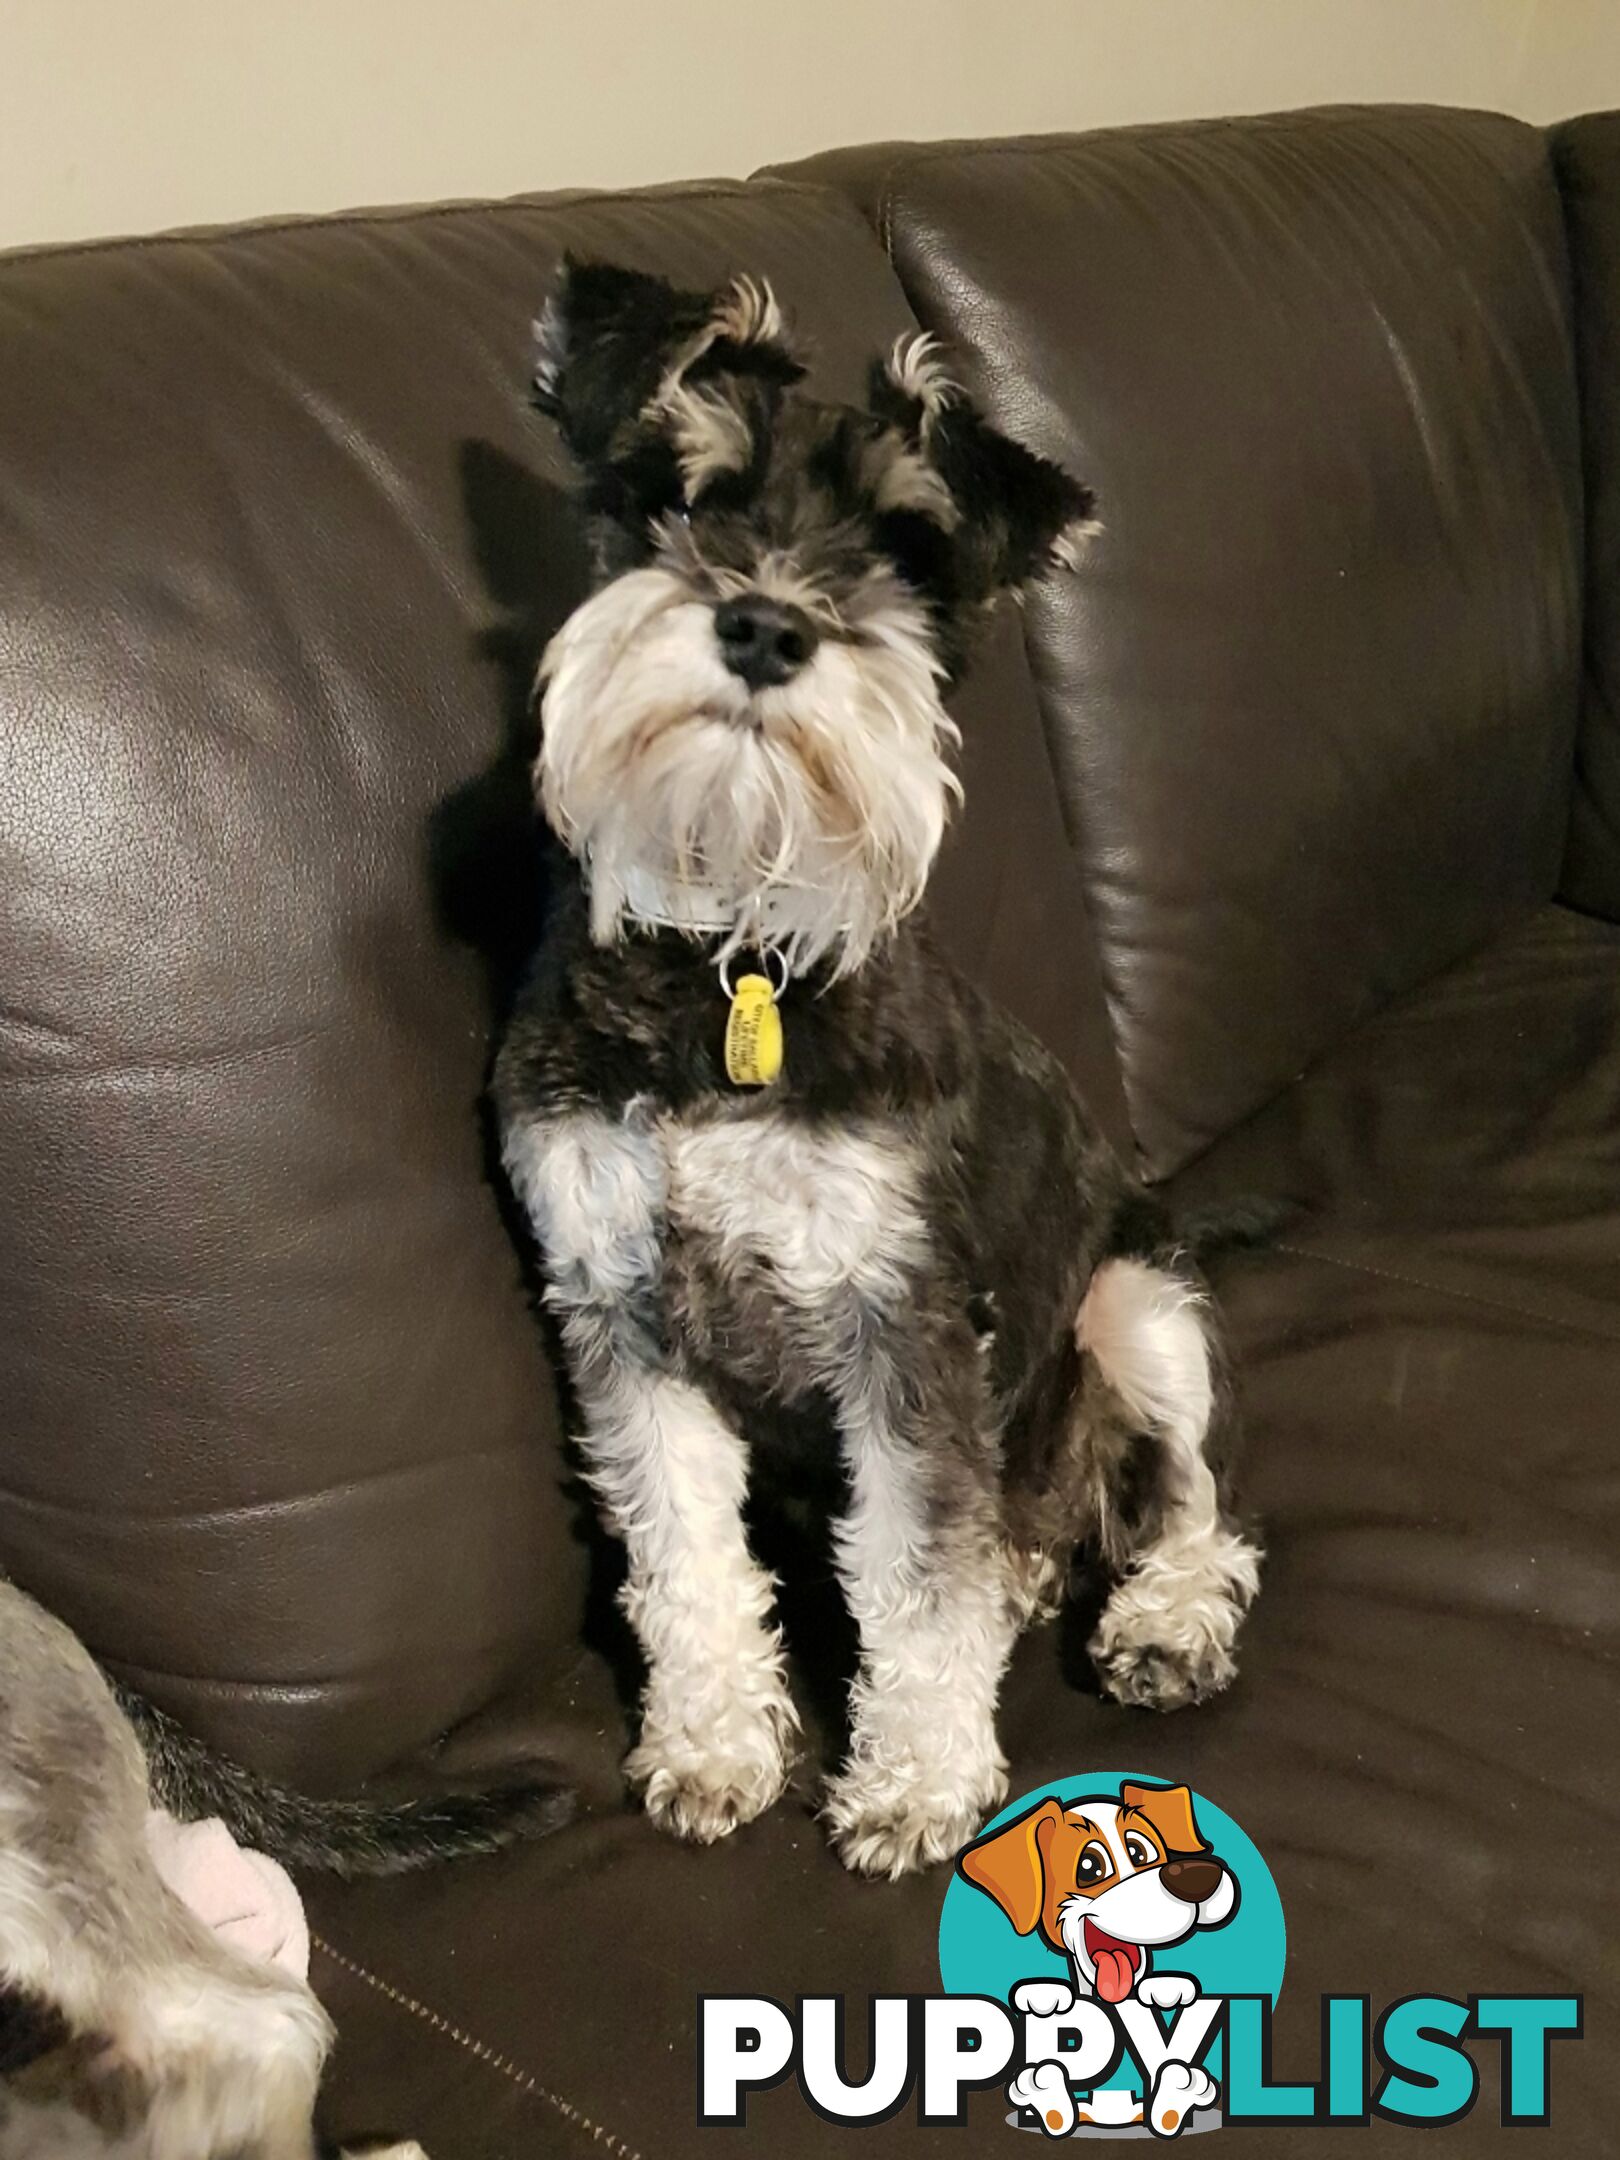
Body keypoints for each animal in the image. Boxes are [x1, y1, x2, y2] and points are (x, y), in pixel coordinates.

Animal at [498, 257, 1270, 1874]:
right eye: (682, 494)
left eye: (908, 552)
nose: (764, 628)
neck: (724, 953)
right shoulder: (621, 1314)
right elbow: (683, 1549)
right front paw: (713, 1744)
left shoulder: (898, 1321)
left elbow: (917, 1568)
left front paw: (915, 1779)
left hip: (1137, 1302)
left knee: (1187, 1505)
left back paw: (1160, 1623)